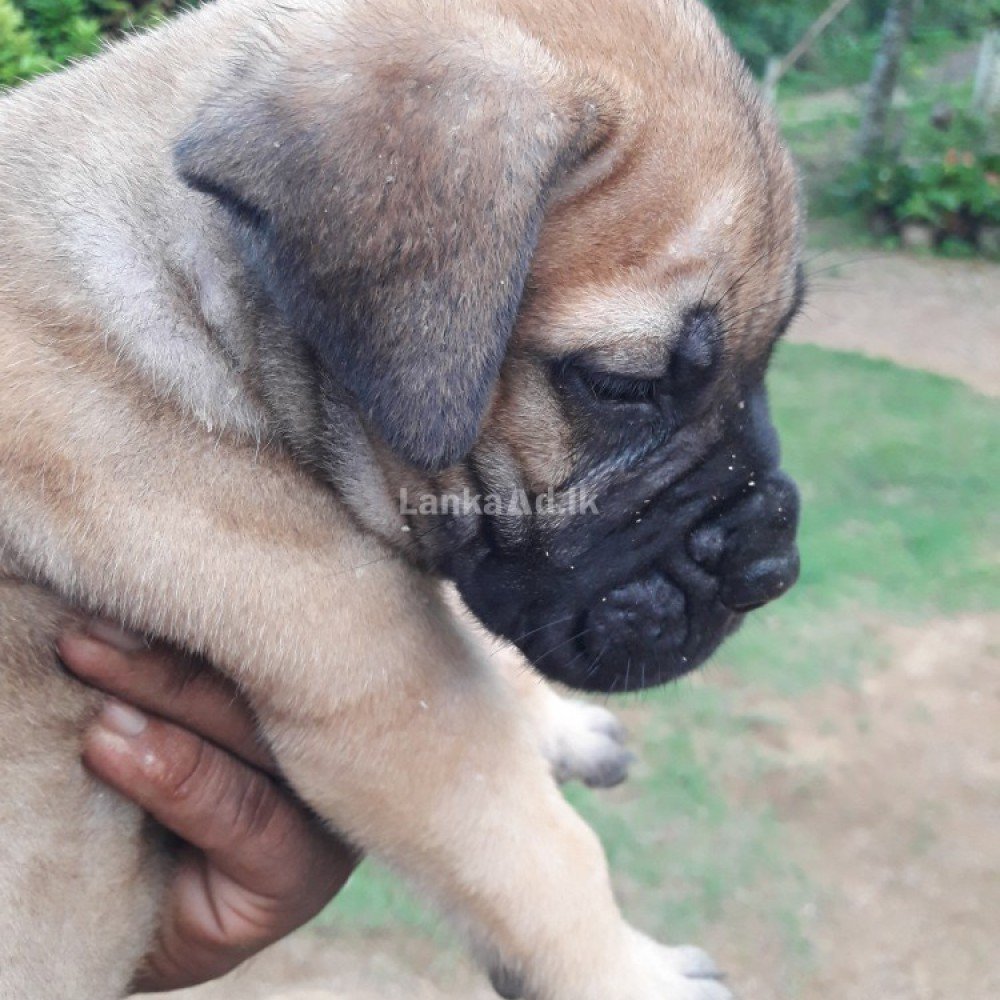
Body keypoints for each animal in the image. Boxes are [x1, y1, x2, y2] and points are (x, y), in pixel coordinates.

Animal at [0, 0, 804, 996]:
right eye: (624, 386)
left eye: (770, 358)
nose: (774, 568)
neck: (190, 301)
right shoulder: (392, 693)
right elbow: (542, 854)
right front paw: (632, 975)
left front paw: (554, 724)